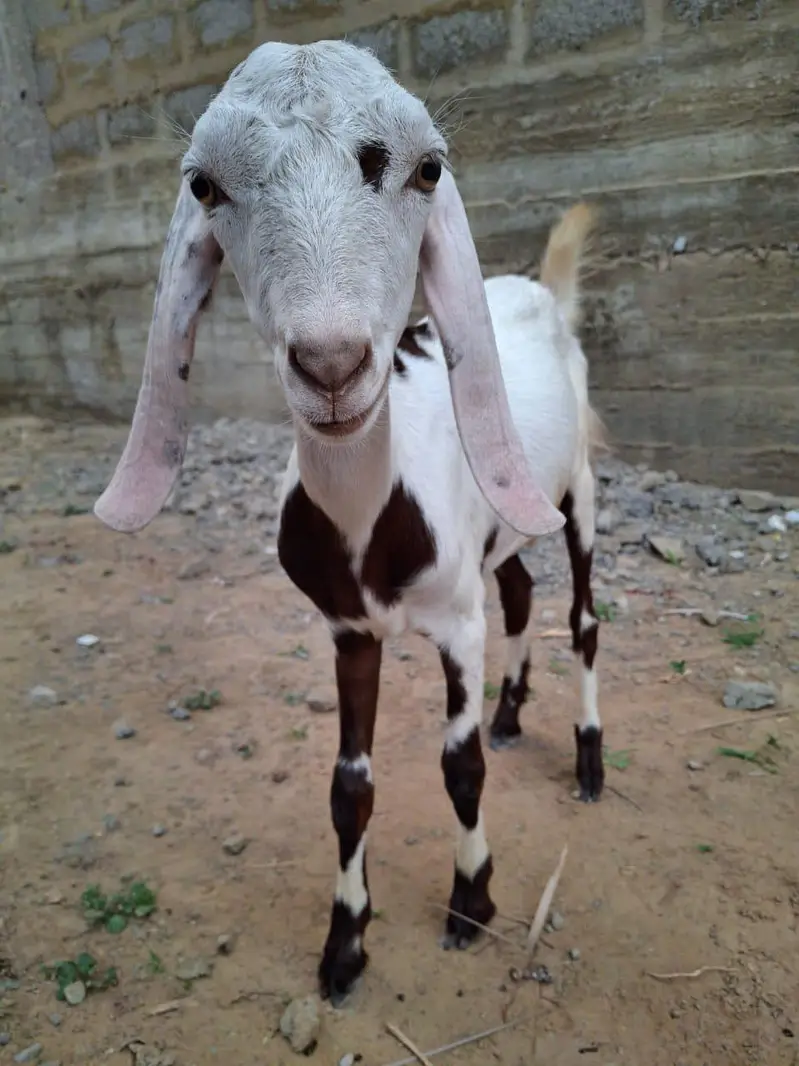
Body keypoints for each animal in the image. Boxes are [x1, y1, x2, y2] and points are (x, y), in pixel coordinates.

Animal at [93, 39, 606, 1007]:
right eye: (205, 184)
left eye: (427, 168)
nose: (330, 367)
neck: (376, 517)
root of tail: (538, 291)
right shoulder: (347, 630)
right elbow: (349, 786)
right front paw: (344, 944)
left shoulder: (455, 624)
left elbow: (458, 764)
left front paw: (471, 900)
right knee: (520, 587)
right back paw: (513, 712)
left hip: (580, 487)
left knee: (583, 616)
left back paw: (589, 762)